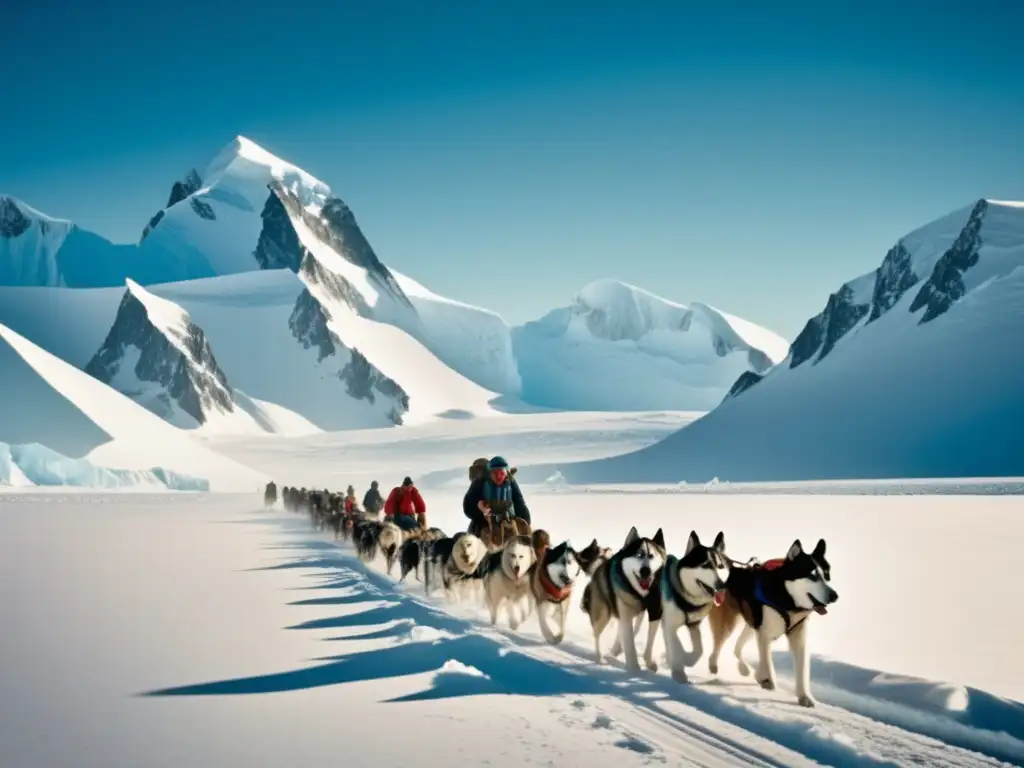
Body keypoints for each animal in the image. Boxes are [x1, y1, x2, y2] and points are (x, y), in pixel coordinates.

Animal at [585, 528, 663, 671]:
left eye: (651, 556)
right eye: (638, 555)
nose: (645, 571)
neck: (640, 594)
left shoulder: (655, 611)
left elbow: (649, 638)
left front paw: (649, 662)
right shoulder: (626, 613)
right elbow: (629, 640)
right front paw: (634, 668)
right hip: (603, 613)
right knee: (597, 634)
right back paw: (600, 659)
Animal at [708, 536, 835, 708]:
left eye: (827, 575)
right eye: (812, 575)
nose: (834, 595)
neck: (787, 599)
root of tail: (733, 569)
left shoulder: (798, 636)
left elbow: (801, 669)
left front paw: (804, 696)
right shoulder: (765, 634)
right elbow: (767, 662)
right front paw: (767, 679)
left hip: (751, 625)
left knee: (737, 647)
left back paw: (744, 669)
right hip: (729, 624)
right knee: (718, 645)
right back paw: (714, 665)